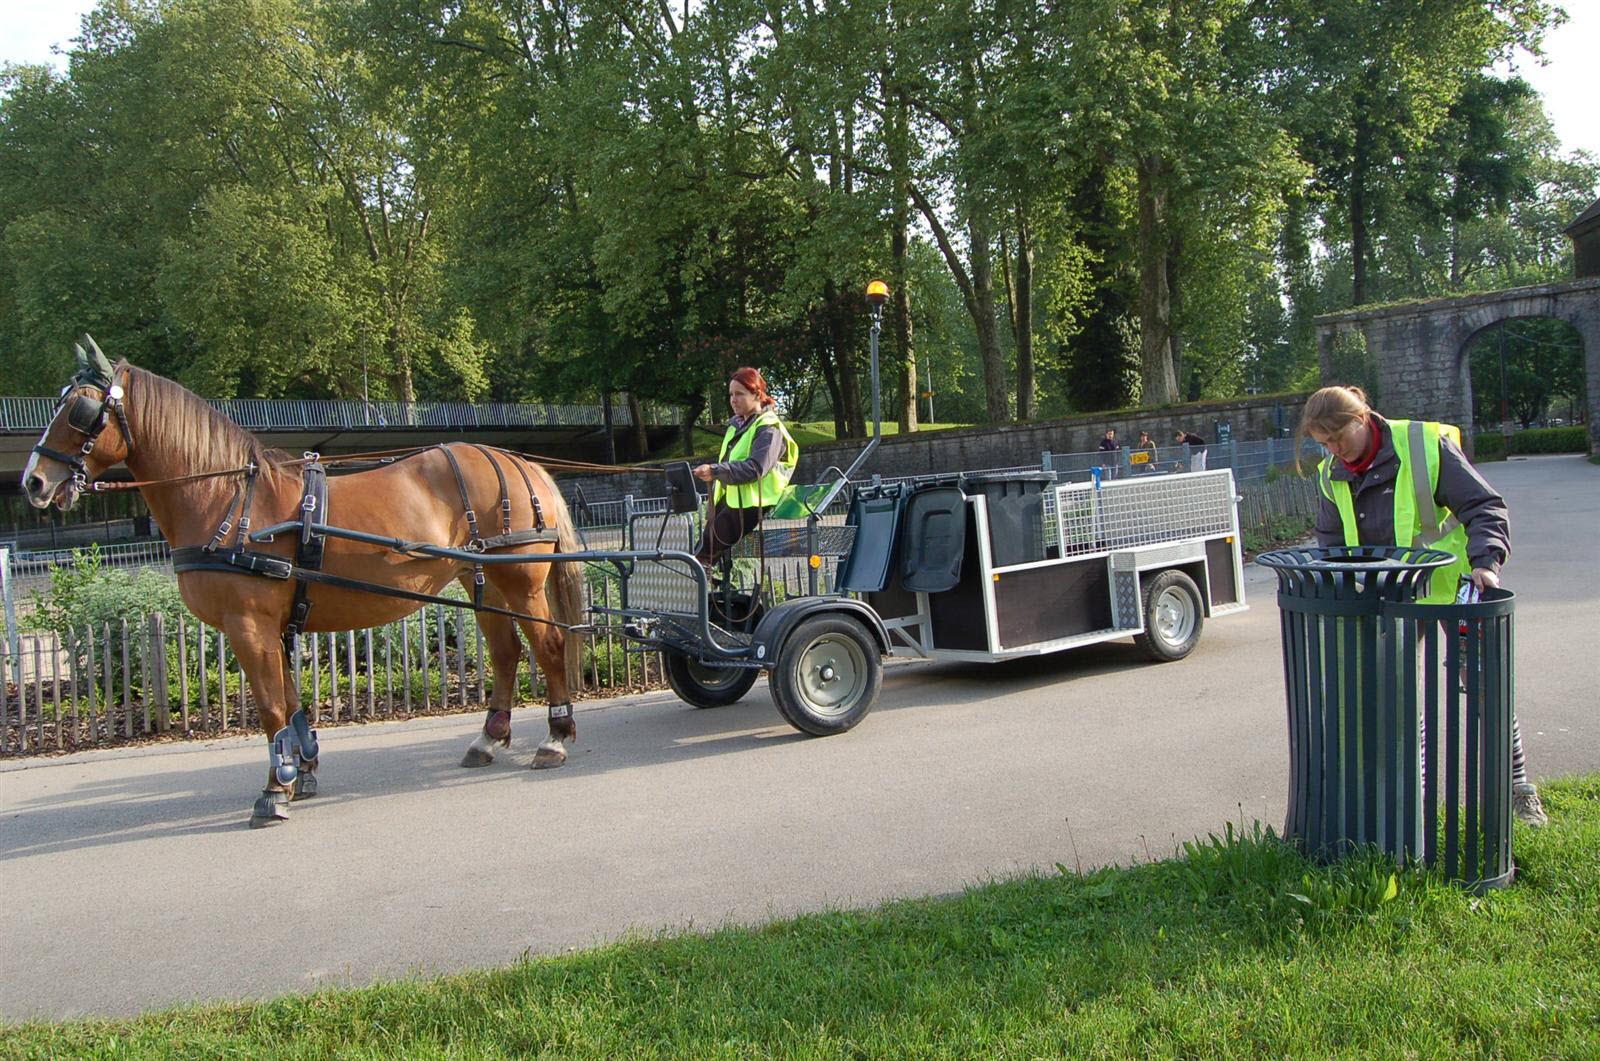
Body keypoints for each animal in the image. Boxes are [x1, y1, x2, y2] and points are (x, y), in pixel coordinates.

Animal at [23, 340, 588, 832]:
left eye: (78, 411)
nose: (34, 482)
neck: (228, 499)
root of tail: (518, 460)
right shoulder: (269, 628)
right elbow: (290, 703)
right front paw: (301, 769)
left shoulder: (247, 627)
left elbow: (271, 707)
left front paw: (274, 790)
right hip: (483, 582)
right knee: (507, 652)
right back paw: (488, 739)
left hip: (519, 580)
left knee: (549, 644)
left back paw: (555, 737)